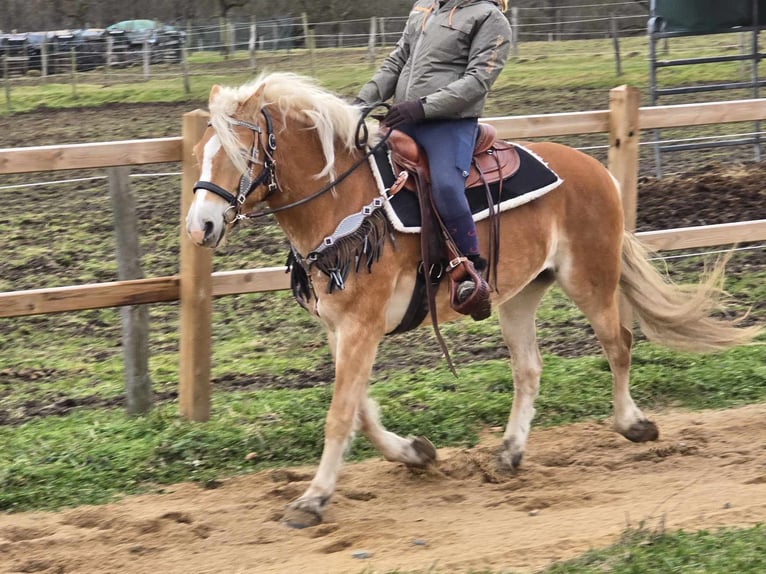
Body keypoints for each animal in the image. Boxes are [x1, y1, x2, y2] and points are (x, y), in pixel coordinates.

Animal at [186, 72, 760, 532]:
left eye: (239, 153)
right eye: (201, 154)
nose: (200, 227)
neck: (344, 205)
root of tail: (596, 171)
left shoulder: (361, 327)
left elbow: (341, 413)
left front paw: (312, 499)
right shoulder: (339, 327)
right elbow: (361, 411)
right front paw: (414, 453)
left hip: (590, 279)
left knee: (618, 343)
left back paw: (632, 424)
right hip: (520, 295)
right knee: (529, 367)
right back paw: (509, 452)